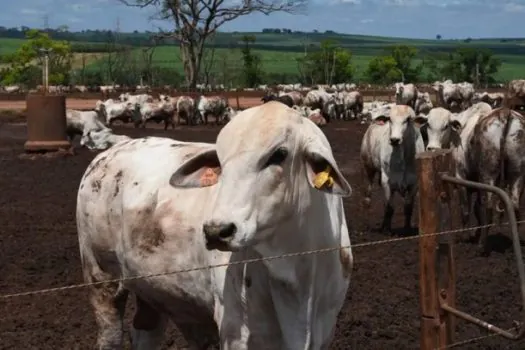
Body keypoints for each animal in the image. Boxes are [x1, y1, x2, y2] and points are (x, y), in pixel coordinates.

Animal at [78, 101, 354, 350]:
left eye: (279, 154)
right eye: (220, 162)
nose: (216, 231)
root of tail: (106, 154)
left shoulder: (324, 330)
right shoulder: (237, 333)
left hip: (151, 292)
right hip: (101, 280)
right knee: (110, 335)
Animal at [360, 104, 426, 235]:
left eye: (408, 119)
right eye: (390, 119)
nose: (394, 139)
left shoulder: (414, 183)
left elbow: (408, 207)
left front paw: (407, 229)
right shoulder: (387, 180)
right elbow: (390, 207)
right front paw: (387, 230)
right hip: (368, 168)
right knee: (368, 196)